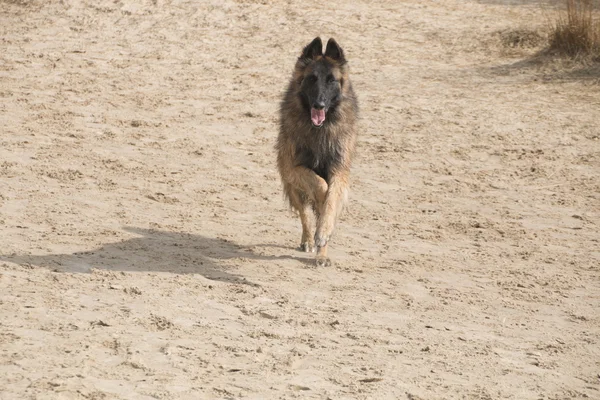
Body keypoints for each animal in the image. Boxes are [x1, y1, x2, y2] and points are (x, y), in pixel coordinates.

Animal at [276, 36, 358, 266]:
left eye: (331, 80)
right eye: (312, 79)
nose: (319, 105)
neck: (320, 130)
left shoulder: (339, 171)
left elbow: (331, 199)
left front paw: (324, 231)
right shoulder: (293, 169)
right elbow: (320, 186)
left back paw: (322, 253)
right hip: (293, 186)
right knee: (305, 213)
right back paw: (309, 241)